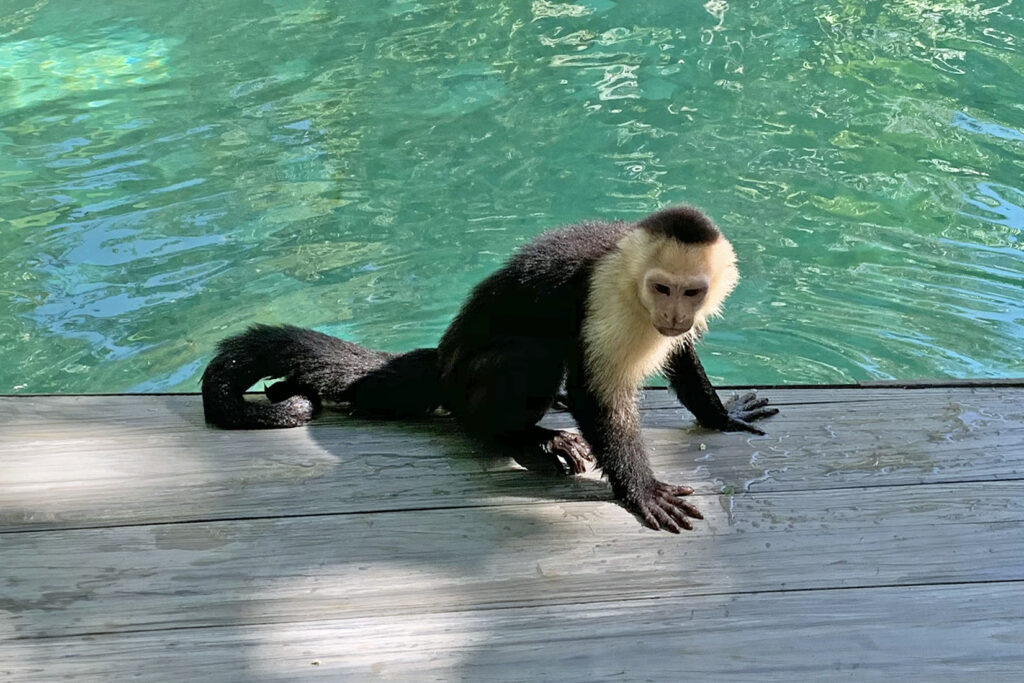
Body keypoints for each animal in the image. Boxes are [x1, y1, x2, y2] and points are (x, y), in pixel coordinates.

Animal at [201, 207, 778, 532]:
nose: (673, 314)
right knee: (532, 359)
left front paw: (721, 414)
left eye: (691, 292)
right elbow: (594, 394)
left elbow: (680, 355)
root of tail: (443, 361)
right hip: (468, 387)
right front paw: (640, 490)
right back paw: (523, 440)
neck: (630, 276)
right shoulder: (607, 297)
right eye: (661, 287)